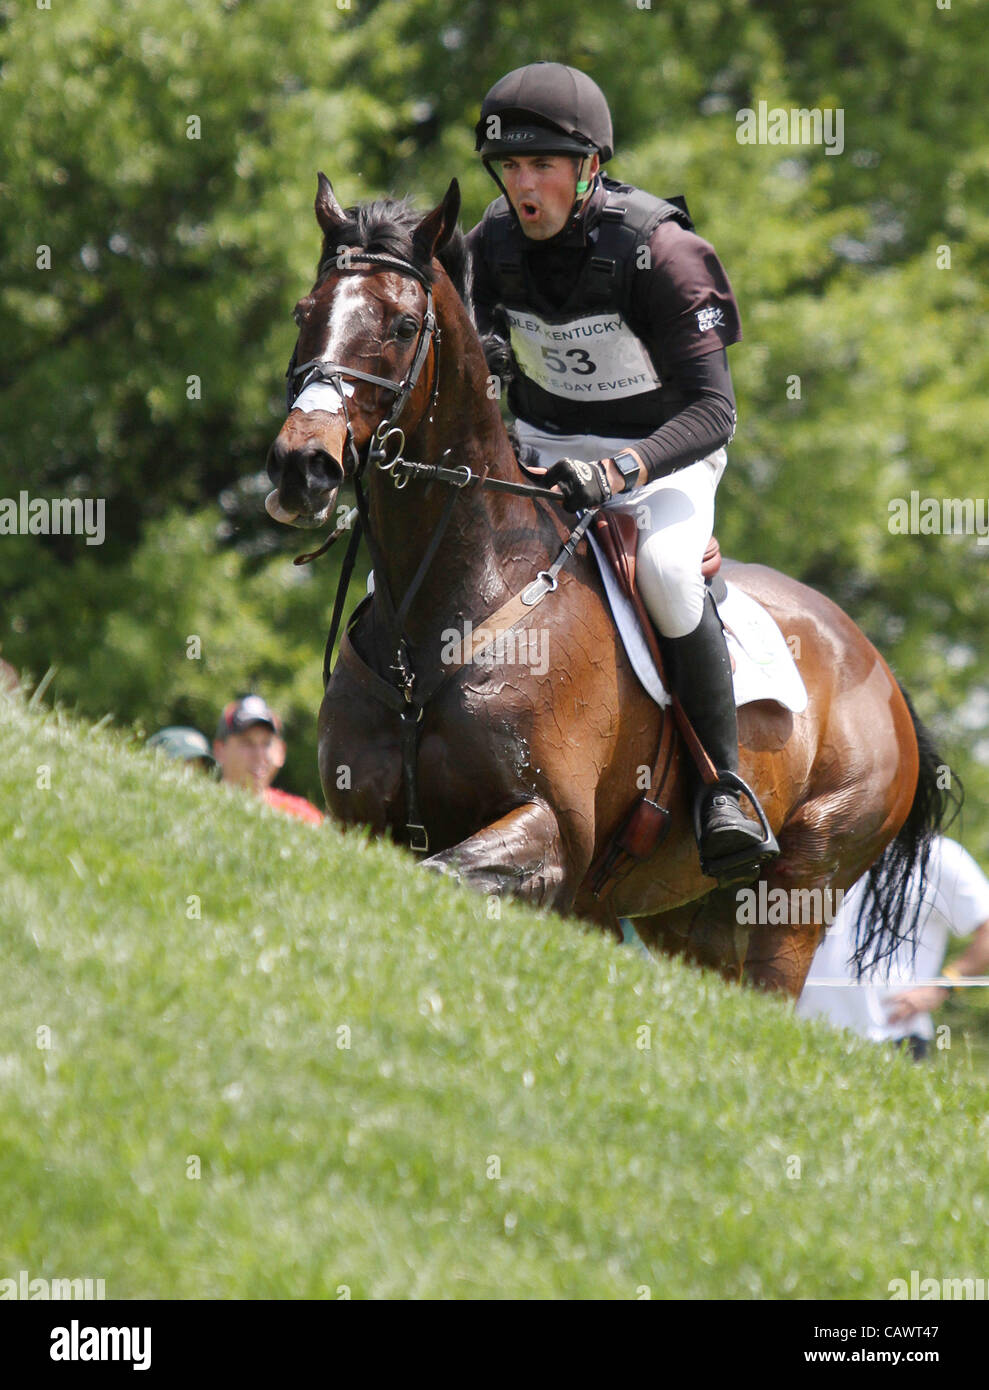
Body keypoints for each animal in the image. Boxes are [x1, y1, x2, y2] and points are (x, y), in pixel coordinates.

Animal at [262, 176, 950, 1000]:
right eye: (304, 313)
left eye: (401, 324)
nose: (302, 467)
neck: (448, 607)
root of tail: (878, 667)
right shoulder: (362, 818)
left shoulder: (551, 831)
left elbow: (445, 872)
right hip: (685, 917)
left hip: (798, 889)